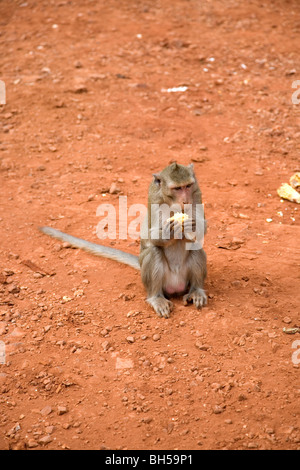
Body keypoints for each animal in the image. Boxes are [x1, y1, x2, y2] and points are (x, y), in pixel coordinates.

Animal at [39, 160, 206, 318]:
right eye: (177, 189)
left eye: (188, 186)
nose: (185, 201)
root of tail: (176, 286)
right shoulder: (154, 199)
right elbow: (149, 237)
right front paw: (169, 231)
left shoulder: (197, 193)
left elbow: (202, 229)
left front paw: (191, 226)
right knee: (153, 252)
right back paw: (156, 298)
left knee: (196, 246)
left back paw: (196, 290)